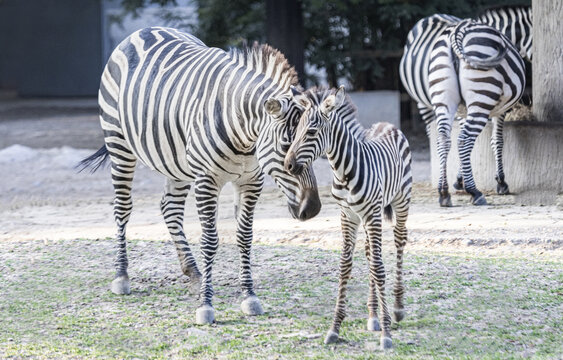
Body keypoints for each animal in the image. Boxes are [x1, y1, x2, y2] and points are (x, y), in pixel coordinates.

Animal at [286, 86, 414, 348]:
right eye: (296, 131)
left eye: (311, 131)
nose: (288, 165)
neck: (343, 171)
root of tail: (387, 124)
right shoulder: (348, 215)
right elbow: (346, 266)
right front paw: (335, 328)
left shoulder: (373, 214)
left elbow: (378, 267)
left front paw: (387, 333)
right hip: (367, 217)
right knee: (369, 252)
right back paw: (373, 315)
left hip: (400, 201)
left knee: (399, 242)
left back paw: (397, 308)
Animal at [400, 5, 532, 207]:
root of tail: (457, 32)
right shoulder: (500, 109)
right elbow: (497, 140)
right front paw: (501, 182)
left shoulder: (462, 109)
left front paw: (459, 179)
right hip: (470, 97)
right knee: (463, 139)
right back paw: (474, 192)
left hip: (444, 100)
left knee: (444, 139)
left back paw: (444, 192)